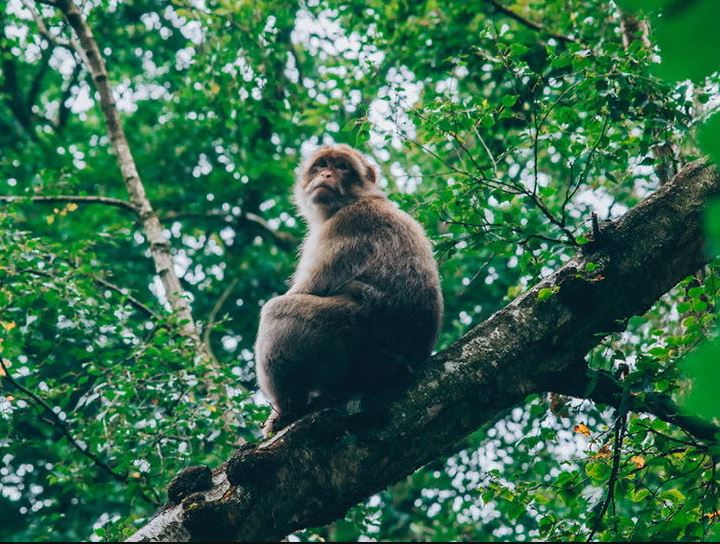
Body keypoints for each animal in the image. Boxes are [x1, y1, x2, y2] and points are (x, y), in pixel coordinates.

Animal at [253, 142, 444, 436]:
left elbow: (304, 291)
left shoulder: (344, 225)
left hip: (349, 335)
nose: (327, 175)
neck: (353, 200)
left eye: (342, 167)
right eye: (322, 165)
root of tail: (412, 356)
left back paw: (287, 409)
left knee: (276, 311)